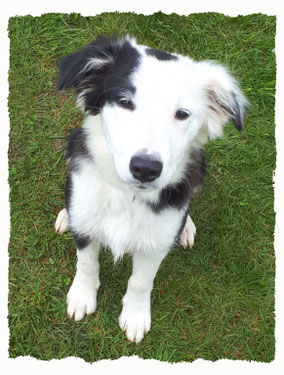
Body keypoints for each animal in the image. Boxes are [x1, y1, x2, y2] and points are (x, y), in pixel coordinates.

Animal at [53, 35, 248, 344]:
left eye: (182, 114)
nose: (145, 168)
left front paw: (134, 316)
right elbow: (86, 262)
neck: (126, 194)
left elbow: (142, 281)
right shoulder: (85, 227)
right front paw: (82, 297)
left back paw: (186, 228)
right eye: (124, 102)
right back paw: (64, 215)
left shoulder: (155, 245)